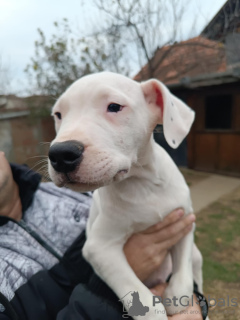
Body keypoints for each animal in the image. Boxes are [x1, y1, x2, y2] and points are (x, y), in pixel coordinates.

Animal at [48, 72, 202, 320]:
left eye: (114, 107)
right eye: (58, 115)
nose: (61, 154)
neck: (141, 184)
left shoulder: (185, 222)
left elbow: (183, 268)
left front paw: (178, 296)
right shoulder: (100, 248)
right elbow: (136, 291)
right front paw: (153, 311)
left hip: (197, 257)